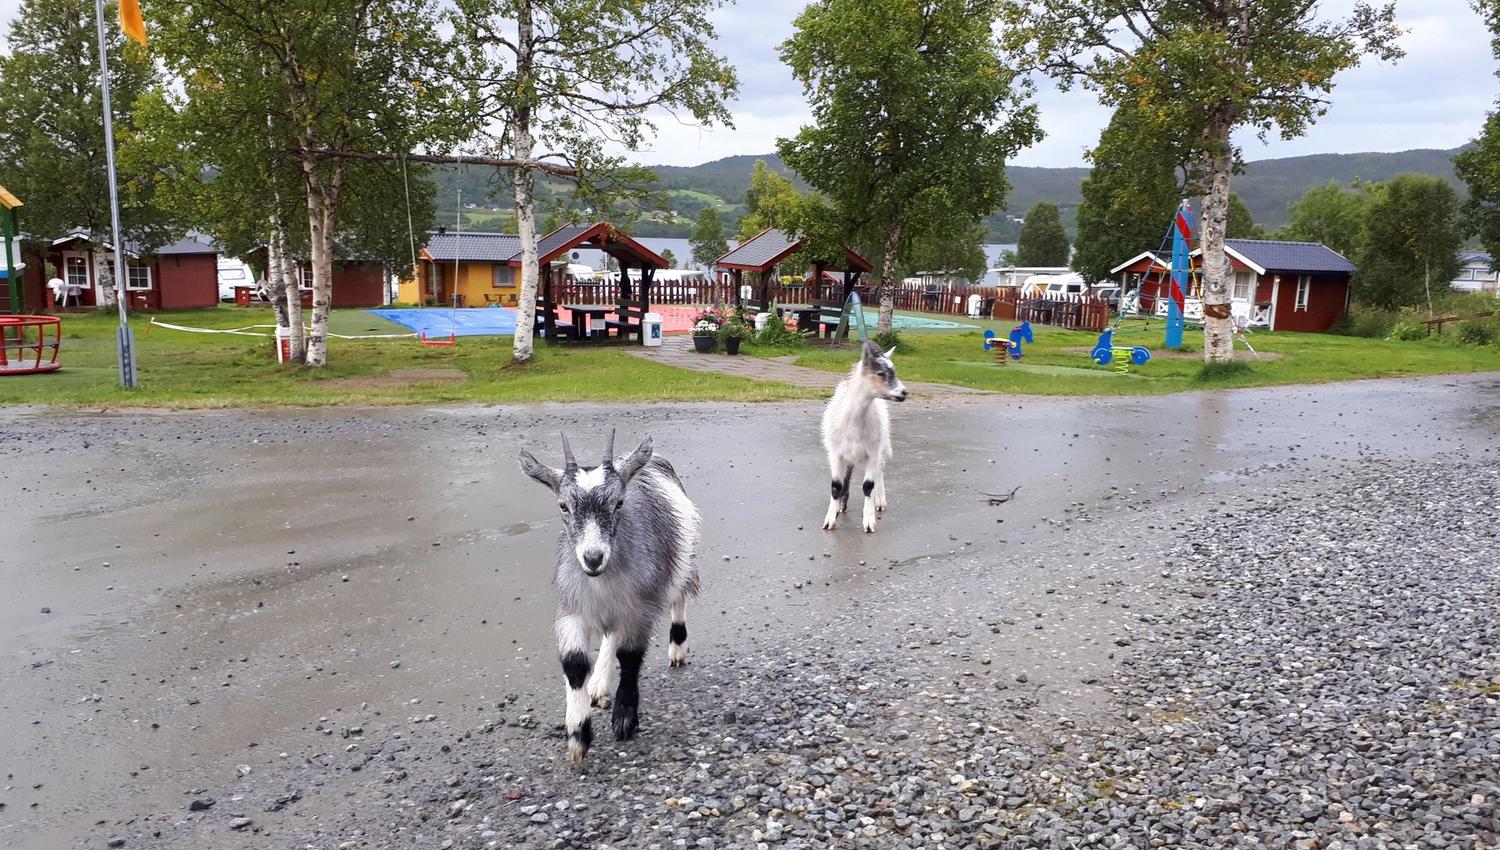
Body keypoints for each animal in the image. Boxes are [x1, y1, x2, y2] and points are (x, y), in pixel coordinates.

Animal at [518, 431, 700, 763]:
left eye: (619, 503)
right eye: (563, 505)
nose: (593, 558)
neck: (602, 580)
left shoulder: (641, 606)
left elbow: (629, 657)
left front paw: (624, 717)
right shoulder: (572, 609)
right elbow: (574, 663)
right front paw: (578, 734)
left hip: (682, 560)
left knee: (678, 596)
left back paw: (677, 648)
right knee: (610, 634)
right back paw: (598, 683)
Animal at [821, 340, 907, 533]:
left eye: (894, 370)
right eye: (880, 373)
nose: (904, 392)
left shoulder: (872, 452)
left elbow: (868, 485)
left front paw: (869, 522)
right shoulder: (836, 454)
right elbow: (836, 485)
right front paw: (829, 520)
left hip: (881, 445)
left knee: (879, 470)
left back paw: (879, 501)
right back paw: (841, 506)